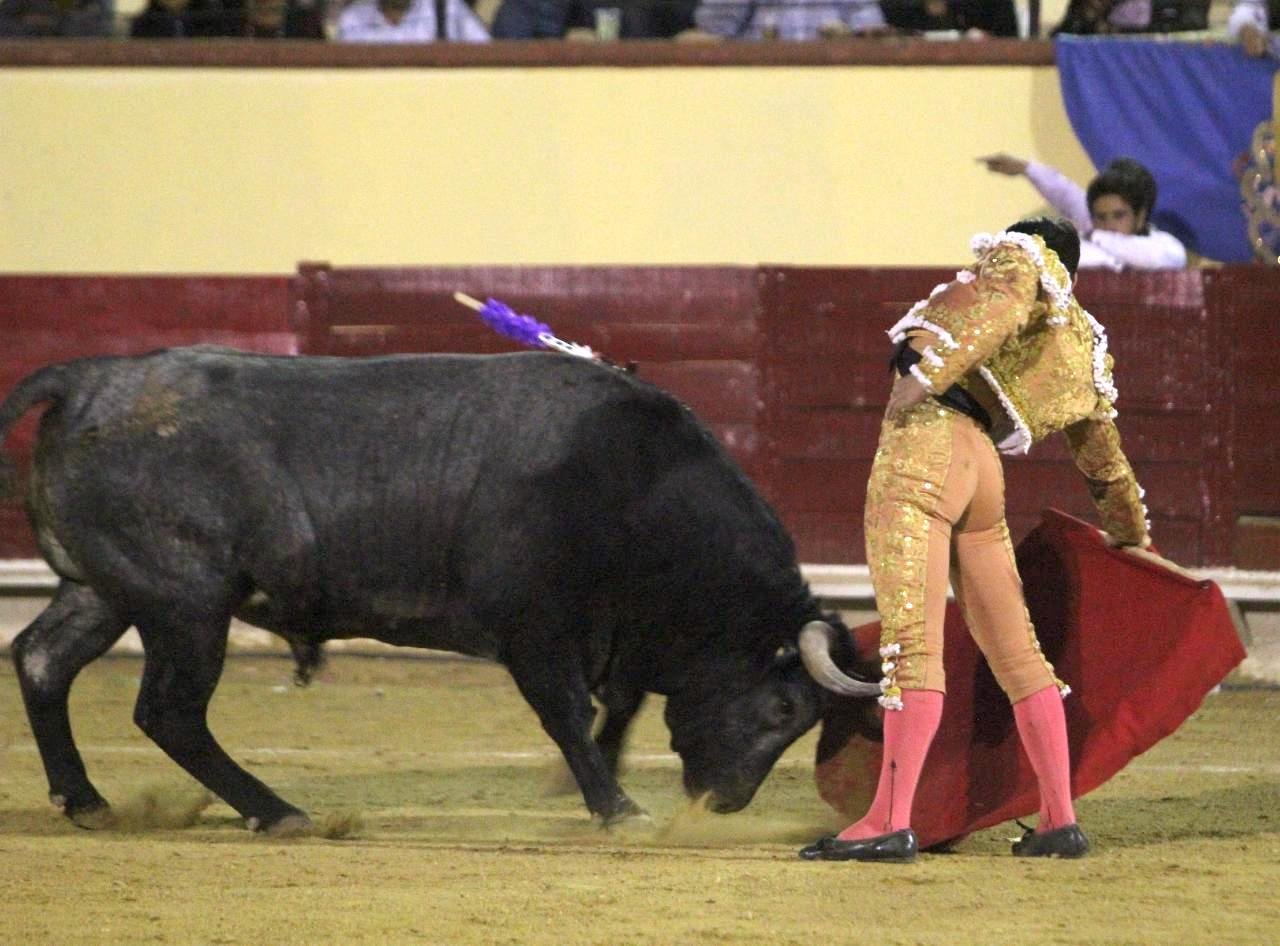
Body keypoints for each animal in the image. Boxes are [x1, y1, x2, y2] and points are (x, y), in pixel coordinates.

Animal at [0, 346, 880, 835]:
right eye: (784, 710)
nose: (727, 802)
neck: (639, 491)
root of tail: (91, 381)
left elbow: (614, 710)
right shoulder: (536, 632)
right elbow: (569, 713)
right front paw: (618, 809)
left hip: (104, 590)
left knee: (42, 660)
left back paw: (87, 801)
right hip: (187, 604)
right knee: (170, 712)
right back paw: (278, 812)